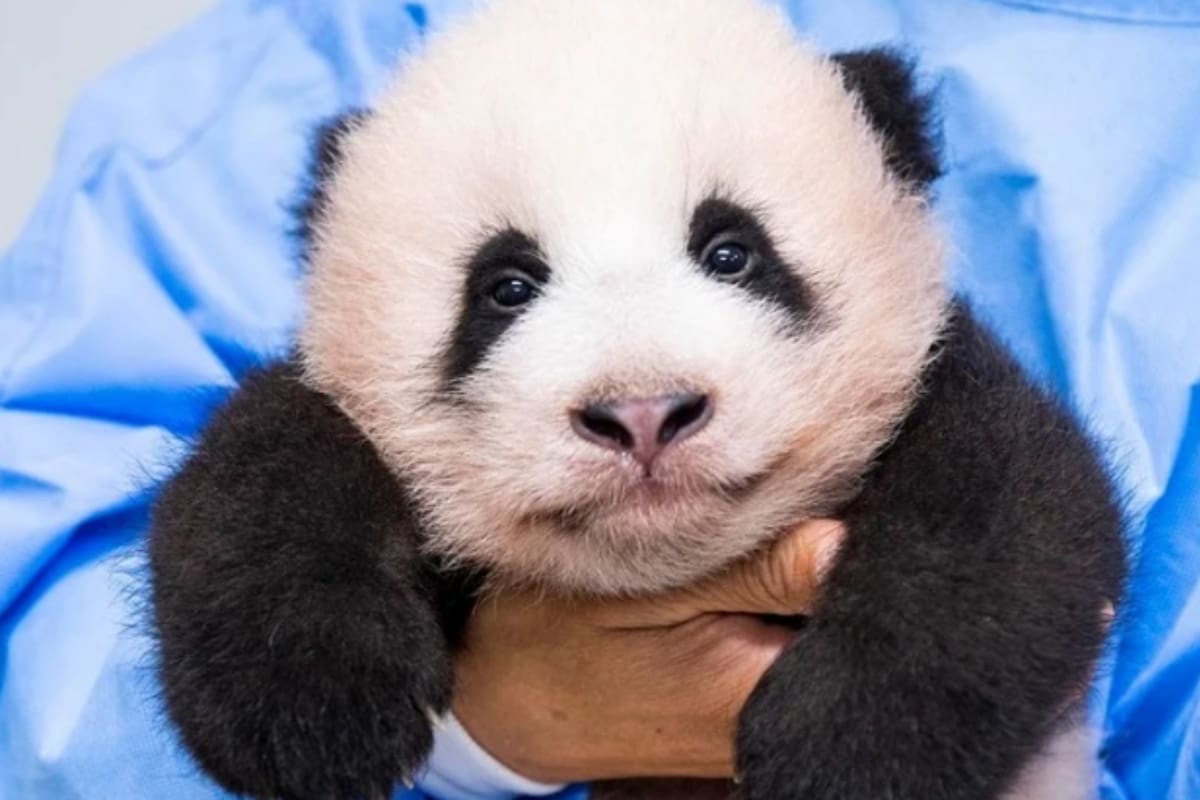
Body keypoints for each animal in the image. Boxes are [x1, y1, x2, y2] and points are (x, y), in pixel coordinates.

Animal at [146, 0, 1127, 798]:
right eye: (505, 287)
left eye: (732, 251)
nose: (644, 413)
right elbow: (262, 469)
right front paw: (315, 709)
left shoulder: (934, 380)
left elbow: (1005, 511)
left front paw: (852, 743)